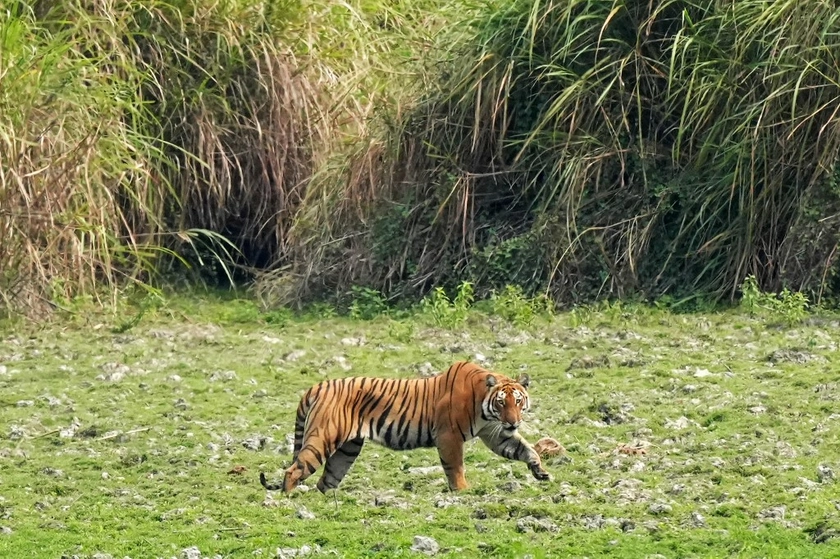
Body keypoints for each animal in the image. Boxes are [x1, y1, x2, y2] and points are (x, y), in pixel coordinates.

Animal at [259, 360, 550, 493]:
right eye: (501, 403)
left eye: (518, 401)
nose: (513, 422)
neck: (485, 407)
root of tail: (317, 385)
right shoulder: (449, 436)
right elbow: (456, 467)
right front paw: (462, 492)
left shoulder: (494, 434)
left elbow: (525, 449)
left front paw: (541, 472)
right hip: (323, 438)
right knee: (294, 470)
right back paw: (289, 500)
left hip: (347, 449)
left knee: (326, 480)